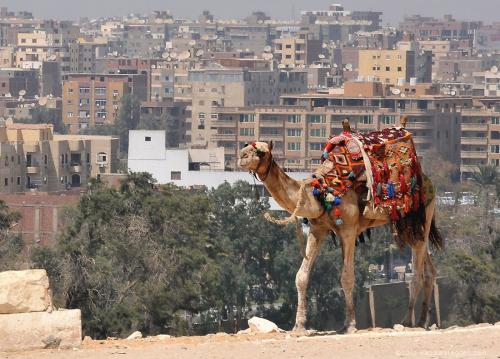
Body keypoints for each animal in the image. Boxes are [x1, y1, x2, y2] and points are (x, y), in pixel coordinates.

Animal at [238, 126, 442, 332]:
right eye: (246, 145)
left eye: (261, 152)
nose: (241, 156)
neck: (321, 193)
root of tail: (428, 181)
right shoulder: (317, 229)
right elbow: (301, 276)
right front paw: (299, 326)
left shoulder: (349, 231)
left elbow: (347, 277)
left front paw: (350, 324)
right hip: (406, 225)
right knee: (428, 269)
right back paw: (423, 320)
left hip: (423, 212)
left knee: (417, 271)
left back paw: (408, 321)